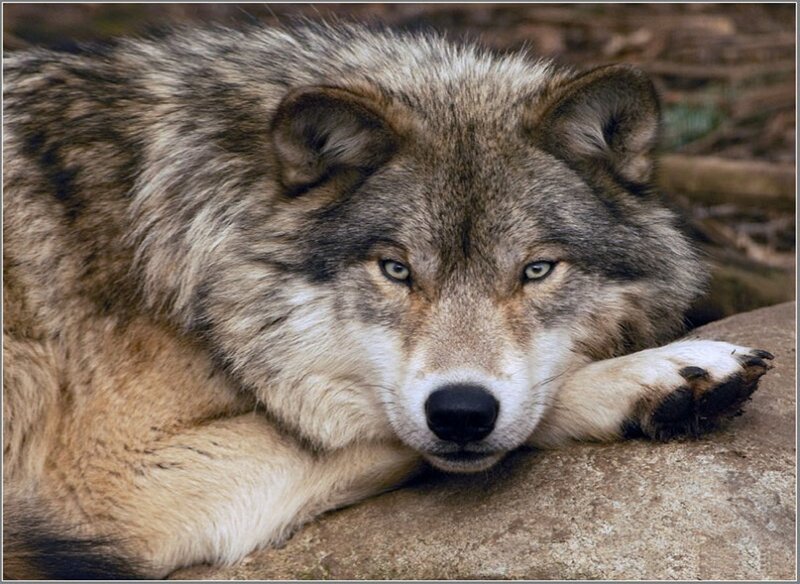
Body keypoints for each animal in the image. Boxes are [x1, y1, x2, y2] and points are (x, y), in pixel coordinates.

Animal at [3, 23, 774, 579]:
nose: (461, 412)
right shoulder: (114, 479)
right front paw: (652, 375)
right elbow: (387, 430)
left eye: (536, 270)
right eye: (396, 270)